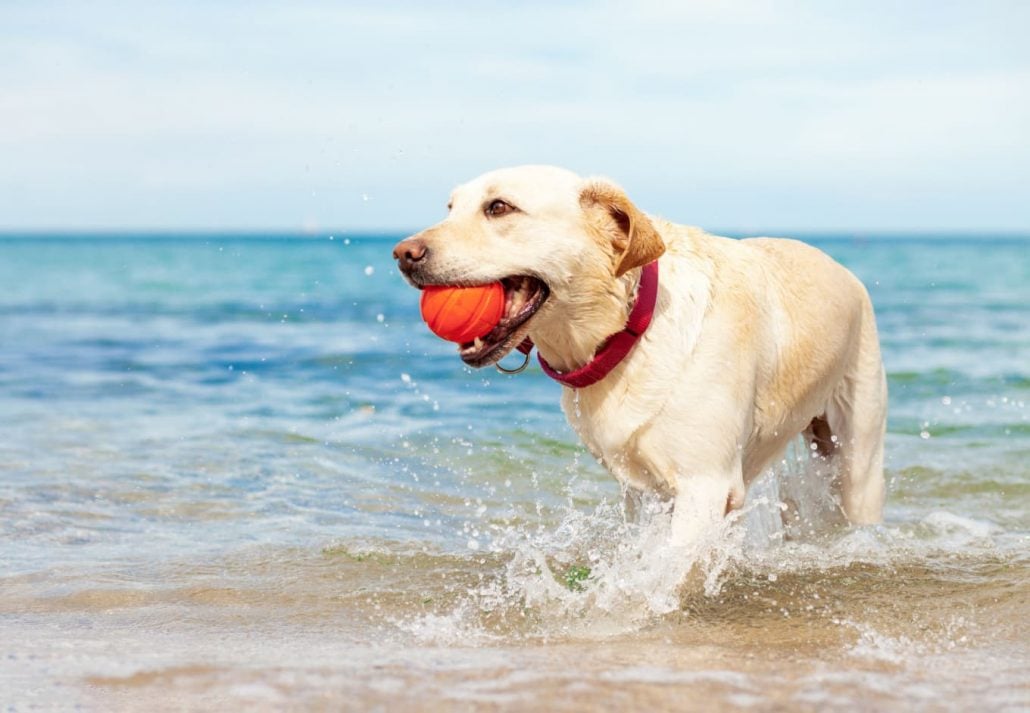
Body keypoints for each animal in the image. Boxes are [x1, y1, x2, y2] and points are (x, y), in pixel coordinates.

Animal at [391, 166, 885, 544]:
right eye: (450, 208)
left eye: (498, 208)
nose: (402, 254)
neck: (628, 329)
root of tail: (843, 269)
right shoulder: (642, 492)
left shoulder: (706, 485)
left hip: (858, 461)